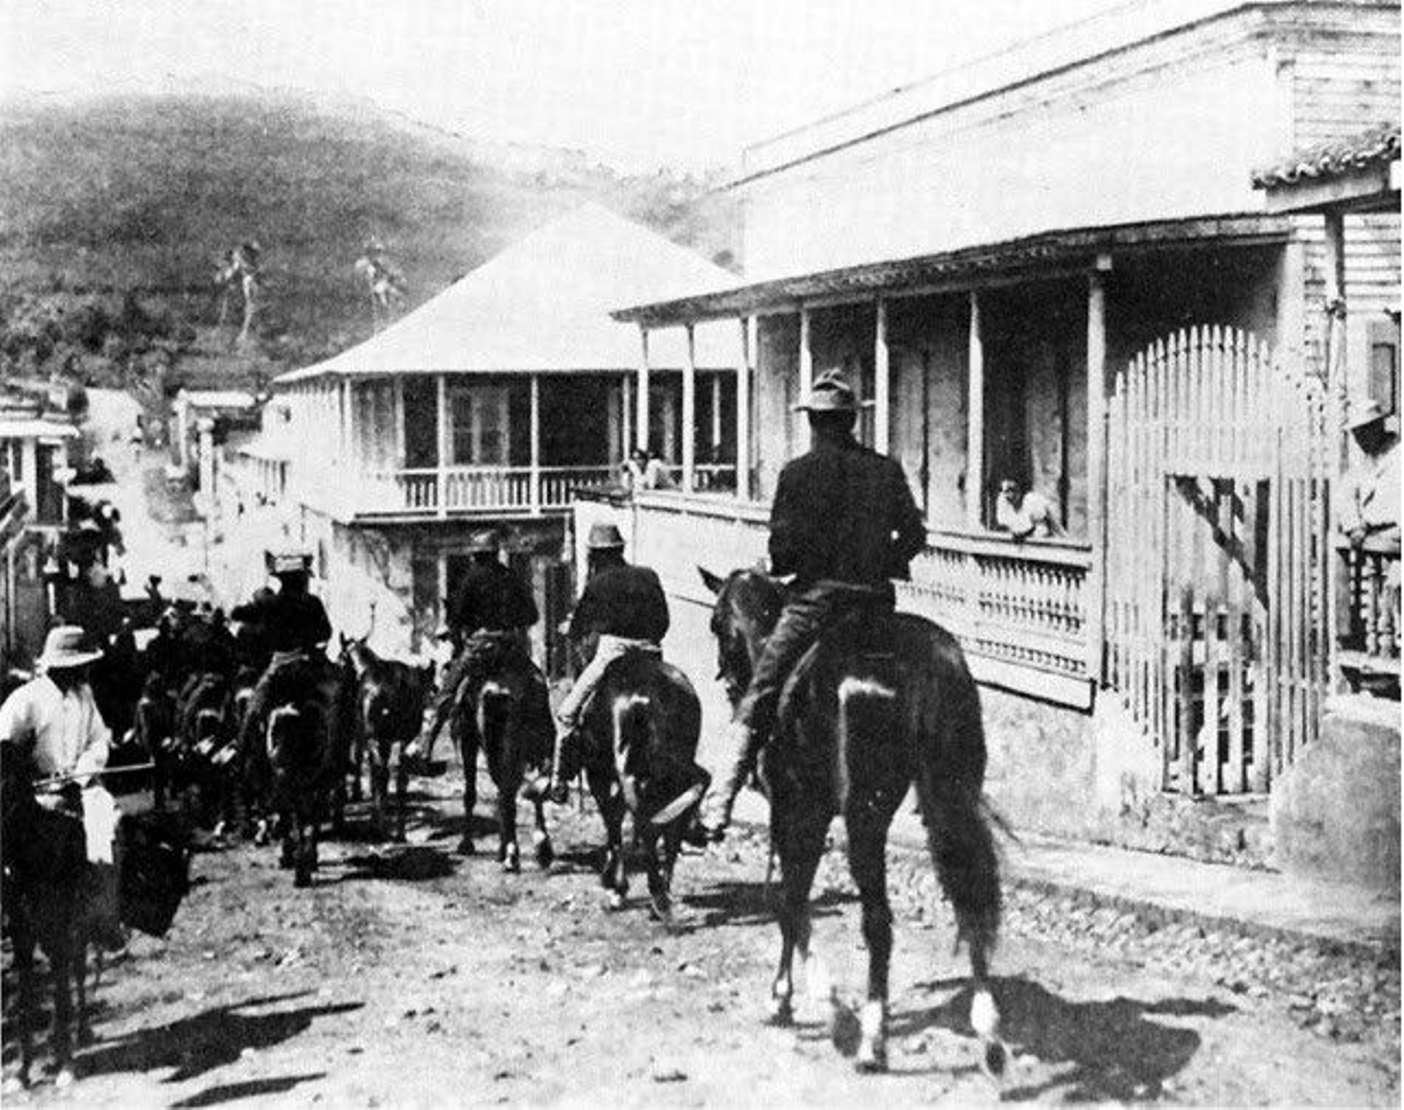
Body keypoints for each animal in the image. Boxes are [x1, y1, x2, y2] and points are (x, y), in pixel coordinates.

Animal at [336, 634, 429, 841]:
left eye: (340, 657)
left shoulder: (362, 732)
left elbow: (363, 762)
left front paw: (355, 793)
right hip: (404, 737)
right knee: (401, 777)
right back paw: (400, 832)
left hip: (376, 736)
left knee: (381, 772)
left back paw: (378, 828)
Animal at [452, 637, 555, 870]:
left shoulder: (469, 738)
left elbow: (472, 793)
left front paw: (467, 844)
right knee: (522, 788)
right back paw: (532, 849)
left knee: (508, 792)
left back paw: (514, 853)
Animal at [572, 637, 699, 926]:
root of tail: (646, 698)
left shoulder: (598, 773)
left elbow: (613, 819)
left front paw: (615, 886)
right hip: (673, 768)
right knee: (672, 819)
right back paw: (662, 894)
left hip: (629, 772)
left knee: (644, 821)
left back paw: (658, 898)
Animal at [699, 569, 1005, 1072]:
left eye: (715, 624)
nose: (731, 688)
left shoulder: (796, 809)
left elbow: (791, 900)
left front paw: (792, 997)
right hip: (950, 799)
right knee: (968, 894)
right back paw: (989, 1032)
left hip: (865, 816)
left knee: (877, 921)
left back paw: (871, 1039)